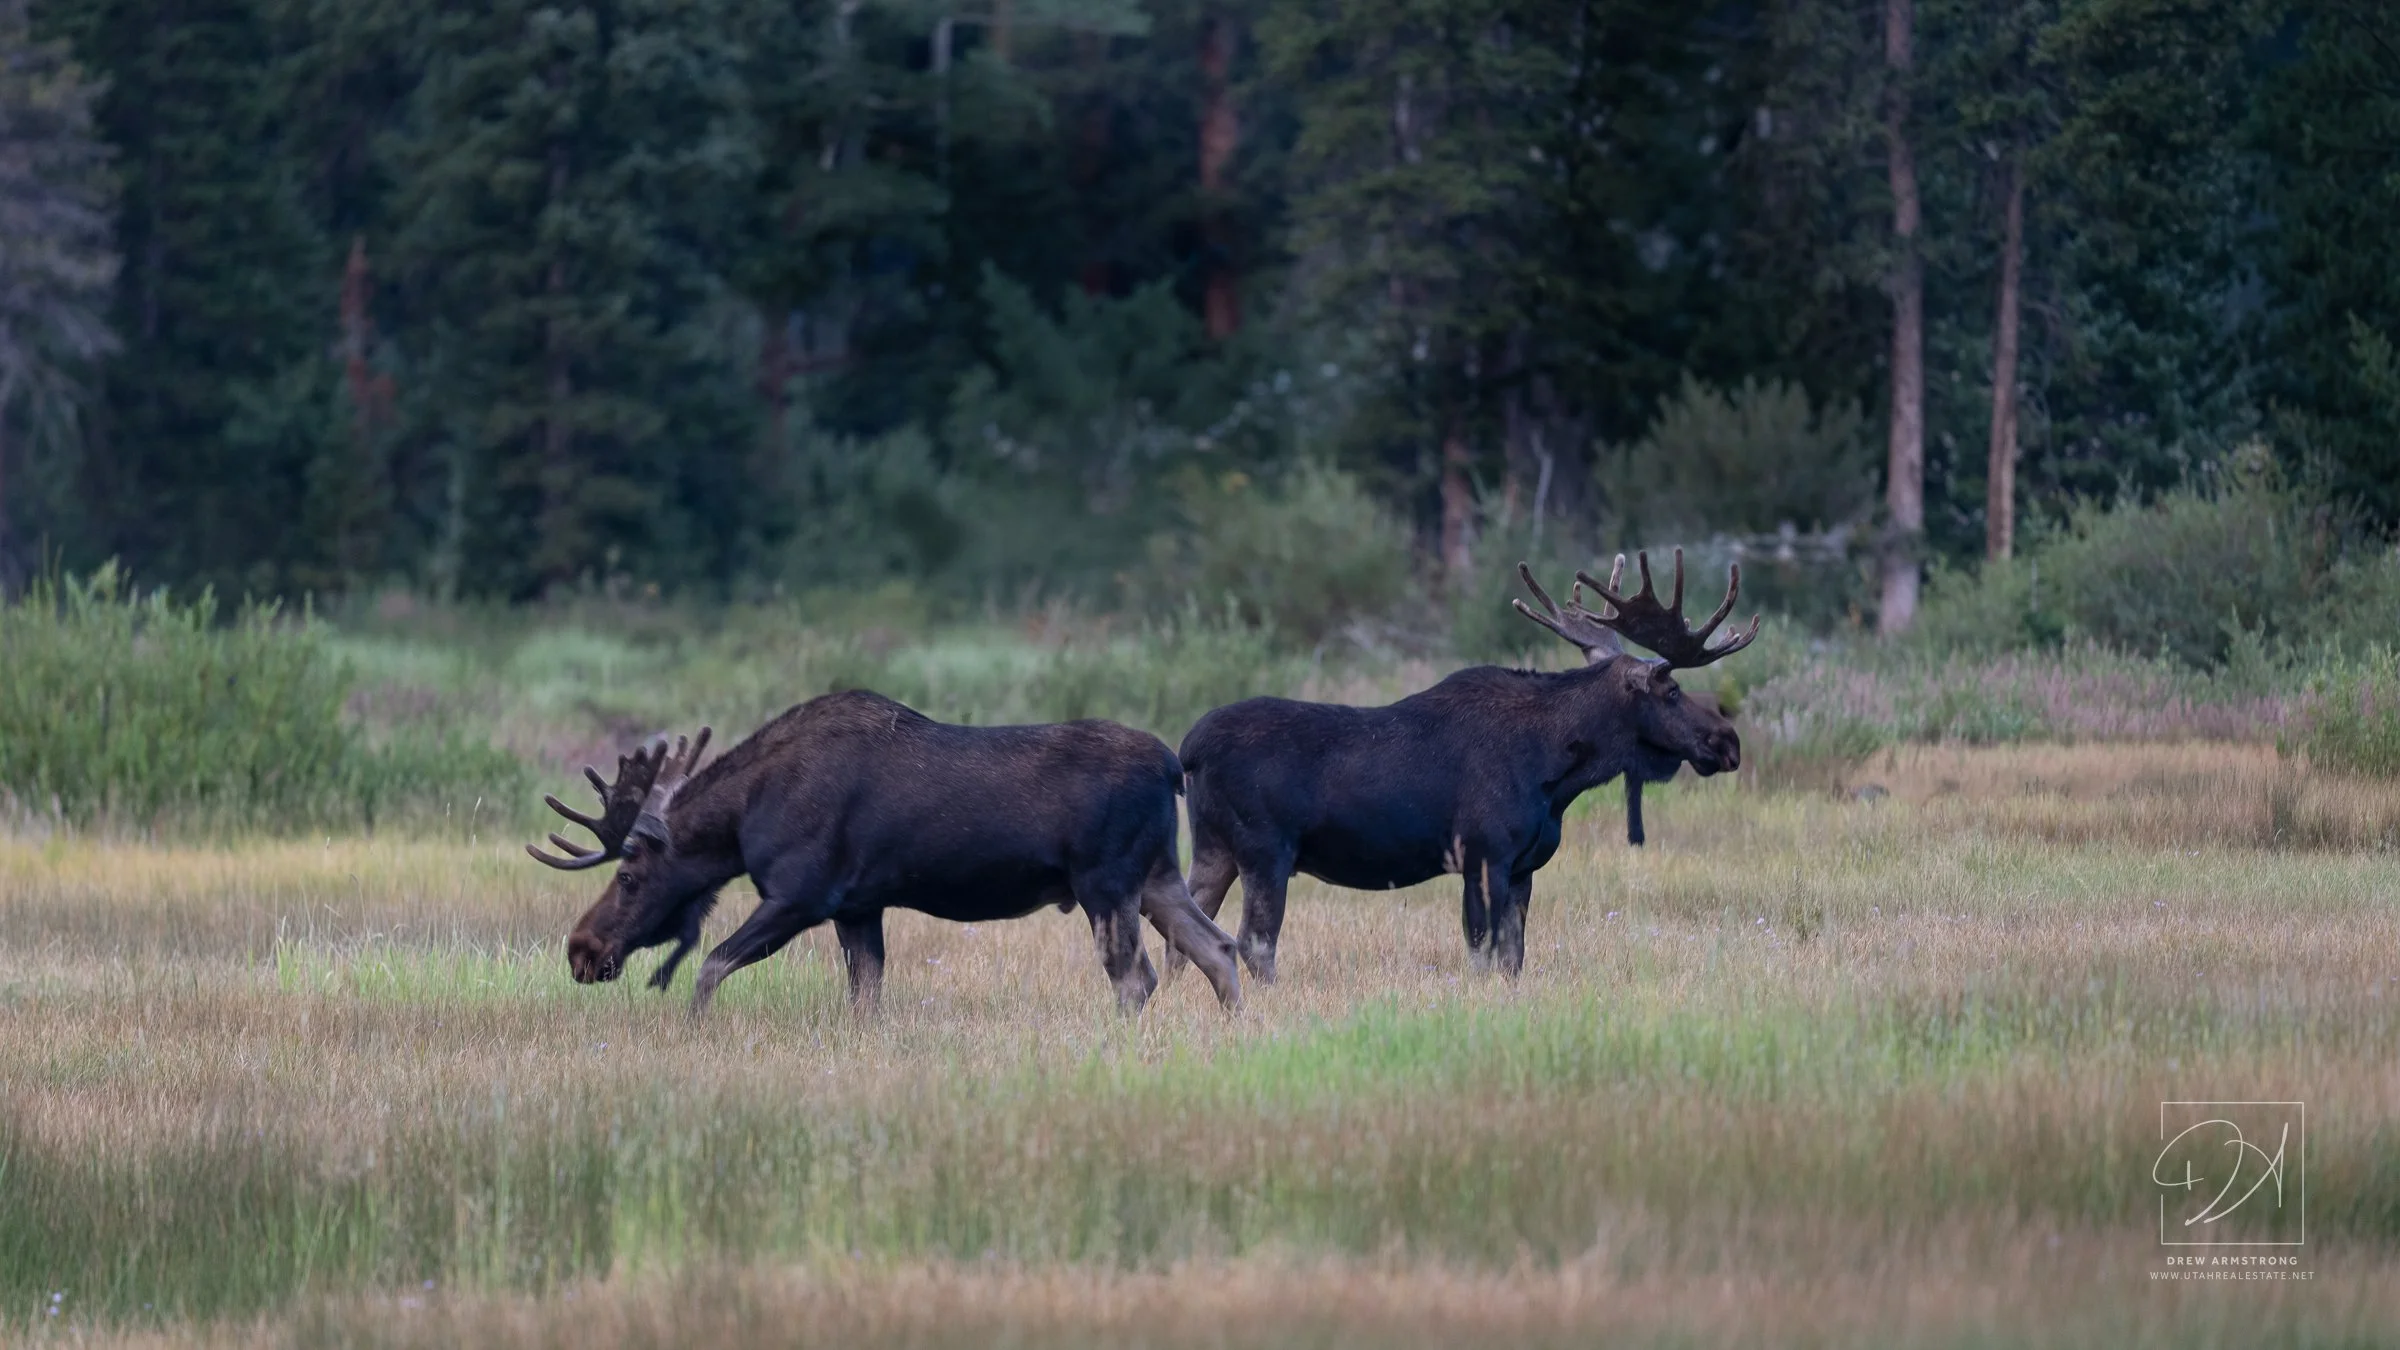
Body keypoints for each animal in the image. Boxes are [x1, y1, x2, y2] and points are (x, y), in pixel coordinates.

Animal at [528, 690, 1244, 1016]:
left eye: (628, 875)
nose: (581, 949)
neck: (744, 816)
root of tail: (1172, 769)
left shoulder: (801, 894)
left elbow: (710, 967)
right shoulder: (858, 905)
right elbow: (865, 998)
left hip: (1106, 879)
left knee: (1137, 976)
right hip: (1157, 875)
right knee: (1218, 948)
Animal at [1169, 549, 1758, 984]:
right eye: (1673, 691)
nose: (1728, 742)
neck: (1556, 774)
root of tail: (1189, 750)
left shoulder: (1522, 866)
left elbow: (1514, 960)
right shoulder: (1482, 853)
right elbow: (1482, 955)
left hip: (1213, 849)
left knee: (1187, 933)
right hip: (1265, 849)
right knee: (1253, 941)